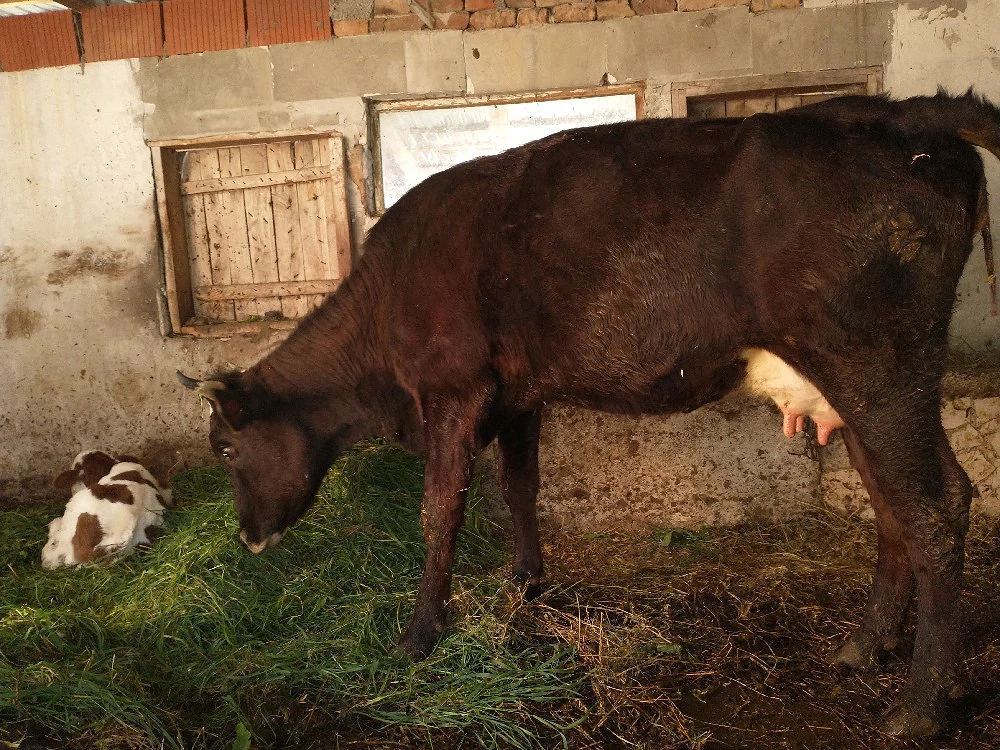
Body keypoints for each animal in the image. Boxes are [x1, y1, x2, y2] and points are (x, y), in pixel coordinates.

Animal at [179, 91, 1000, 738]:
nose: (247, 537)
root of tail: (907, 114)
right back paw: (877, 648)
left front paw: (419, 634)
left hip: (878, 366)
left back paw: (922, 705)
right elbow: (520, 488)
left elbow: (440, 508)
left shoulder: (454, 390)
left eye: (225, 449)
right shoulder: (518, 396)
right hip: (859, 388)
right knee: (902, 503)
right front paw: (526, 584)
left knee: (932, 506)